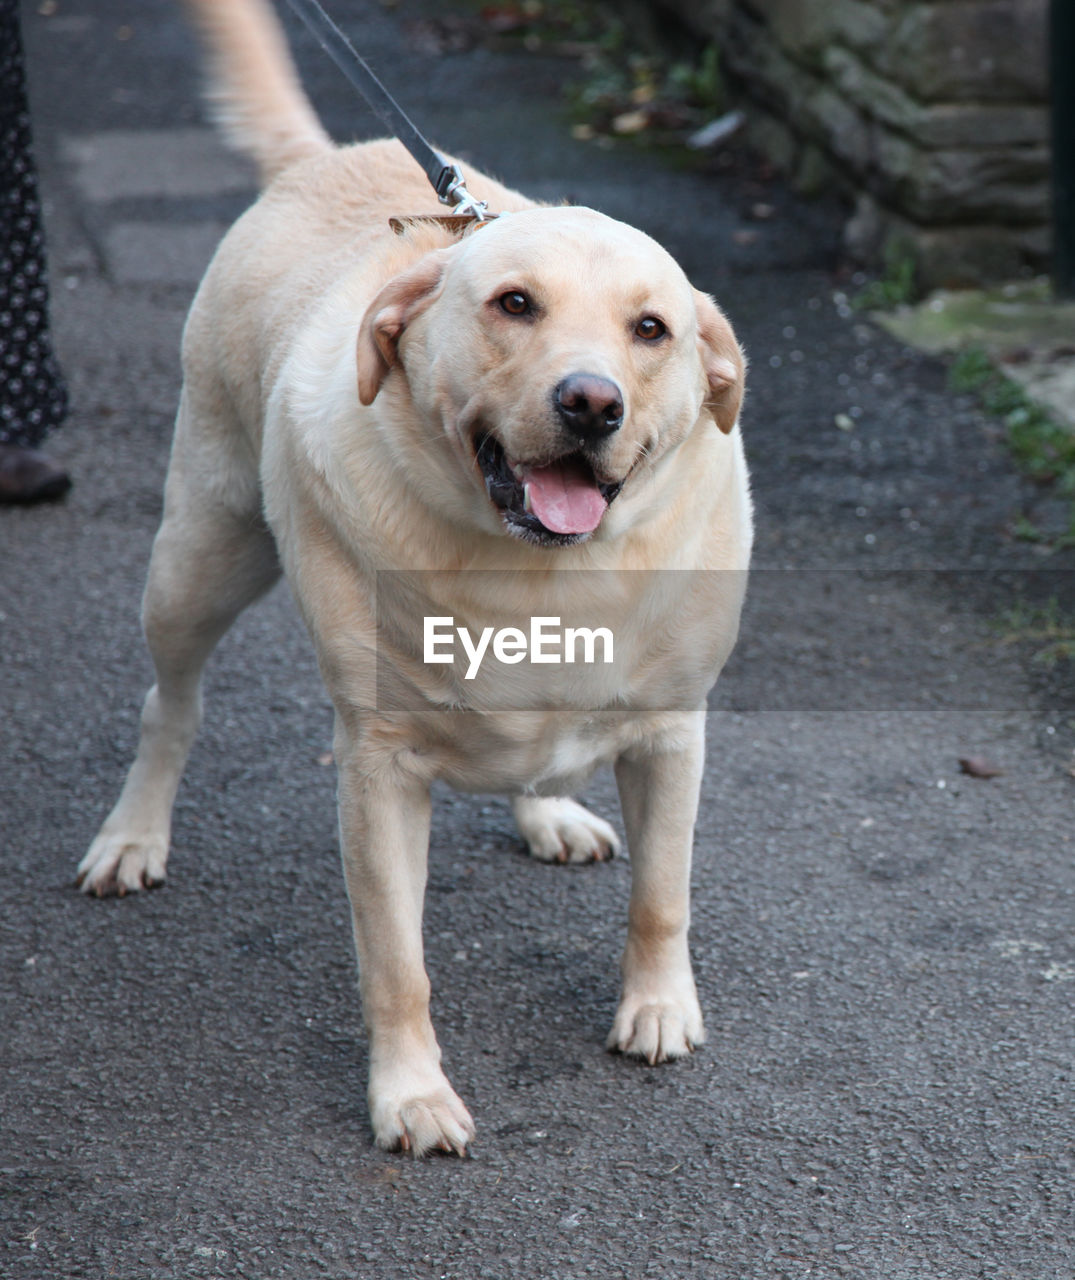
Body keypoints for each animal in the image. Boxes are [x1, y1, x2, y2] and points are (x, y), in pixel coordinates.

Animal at [77, 2, 747, 1162]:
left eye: (651, 329)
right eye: (514, 304)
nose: (591, 403)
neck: (539, 576)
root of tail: (331, 155)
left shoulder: (672, 731)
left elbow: (662, 896)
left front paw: (659, 1006)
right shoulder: (378, 771)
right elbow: (397, 962)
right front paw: (411, 1093)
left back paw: (547, 809)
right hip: (199, 553)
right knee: (170, 701)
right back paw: (133, 832)